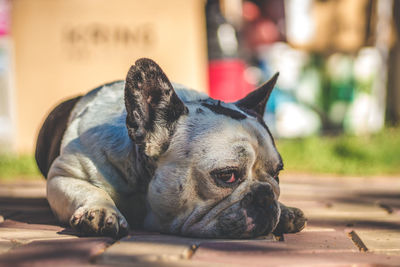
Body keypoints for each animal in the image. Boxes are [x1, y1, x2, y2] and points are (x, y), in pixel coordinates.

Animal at [35, 58, 306, 239]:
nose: (266, 194)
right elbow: (88, 189)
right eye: (227, 175)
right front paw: (101, 210)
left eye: (277, 174)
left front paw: (284, 209)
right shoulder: (65, 174)